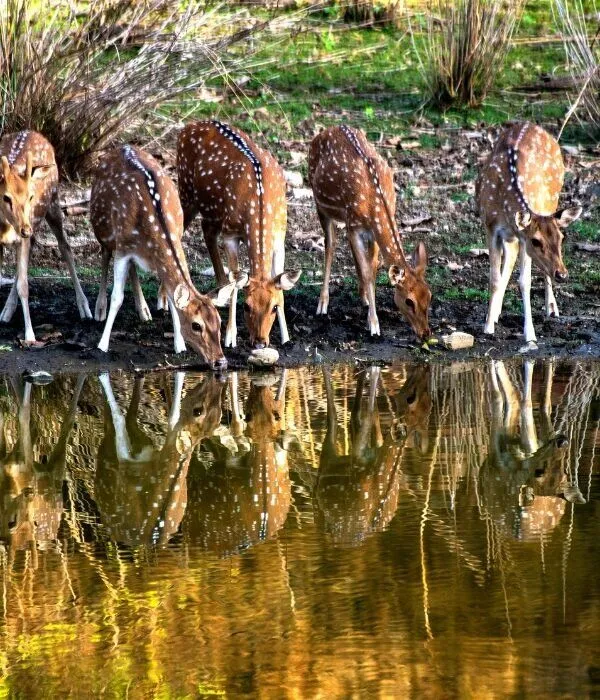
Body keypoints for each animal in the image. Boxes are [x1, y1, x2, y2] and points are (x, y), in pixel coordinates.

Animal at [0, 130, 92, 344]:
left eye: (30, 196)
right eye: (6, 197)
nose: (24, 229)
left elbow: (24, 285)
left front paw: (30, 335)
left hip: (54, 200)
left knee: (65, 246)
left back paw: (85, 308)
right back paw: (7, 311)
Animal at [90, 145, 237, 369]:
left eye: (219, 321)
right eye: (196, 325)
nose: (220, 361)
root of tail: (122, 147)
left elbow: (171, 298)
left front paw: (179, 346)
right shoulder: (123, 248)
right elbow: (117, 297)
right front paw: (102, 345)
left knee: (133, 268)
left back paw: (144, 310)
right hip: (103, 228)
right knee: (105, 255)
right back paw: (99, 309)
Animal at [177, 120, 301, 350]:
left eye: (274, 307)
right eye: (247, 306)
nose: (260, 342)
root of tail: (188, 126)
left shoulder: (280, 235)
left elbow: (278, 279)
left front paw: (286, 336)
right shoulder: (231, 234)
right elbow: (237, 282)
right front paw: (230, 337)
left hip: (212, 212)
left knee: (207, 231)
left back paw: (220, 290)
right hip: (186, 191)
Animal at [308, 125, 431, 341]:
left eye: (430, 296)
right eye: (409, 301)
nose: (426, 334)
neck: (374, 204)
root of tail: (328, 129)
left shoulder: (372, 231)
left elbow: (372, 267)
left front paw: (368, 309)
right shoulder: (356, 226)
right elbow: (367, 273)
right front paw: (374, 325)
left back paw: (362, 296)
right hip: (320, 203)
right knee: (330, 245)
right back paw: (322, 304)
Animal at [476, 122, 582, 346]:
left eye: (562, 238)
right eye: (536, 241)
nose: (563, 274)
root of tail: (531, 124)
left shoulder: (521, 237)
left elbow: (525, 282)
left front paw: (530, 334)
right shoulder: (492, 227)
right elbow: (494, 278)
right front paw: (488, 326)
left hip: (551, 202)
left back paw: (552, 308)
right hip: (512, 235)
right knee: (509, 259)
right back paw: (496, 312)